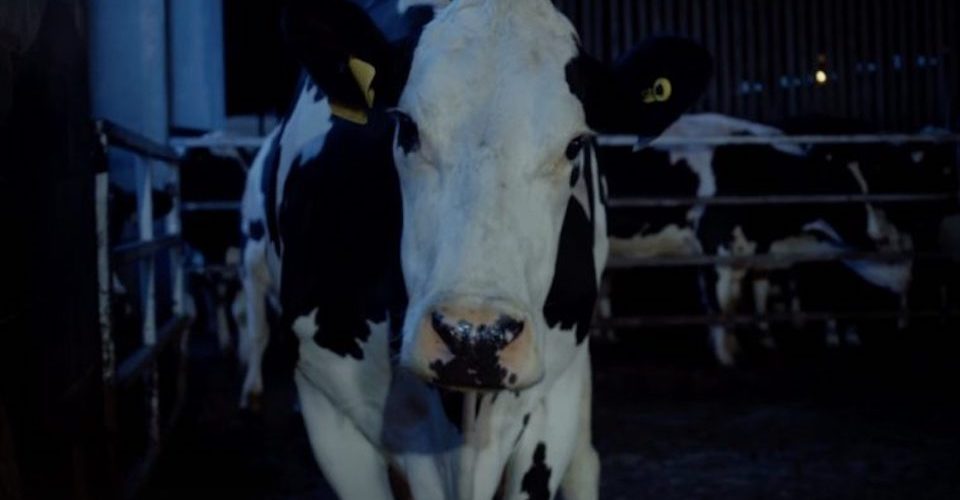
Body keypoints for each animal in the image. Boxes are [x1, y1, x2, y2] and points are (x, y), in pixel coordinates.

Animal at [239, 0, 712, 498]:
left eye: (575, 144)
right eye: (406, 127)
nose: (474, 336)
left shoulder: (550, 405)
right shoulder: (328, 404)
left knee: (585, 463)